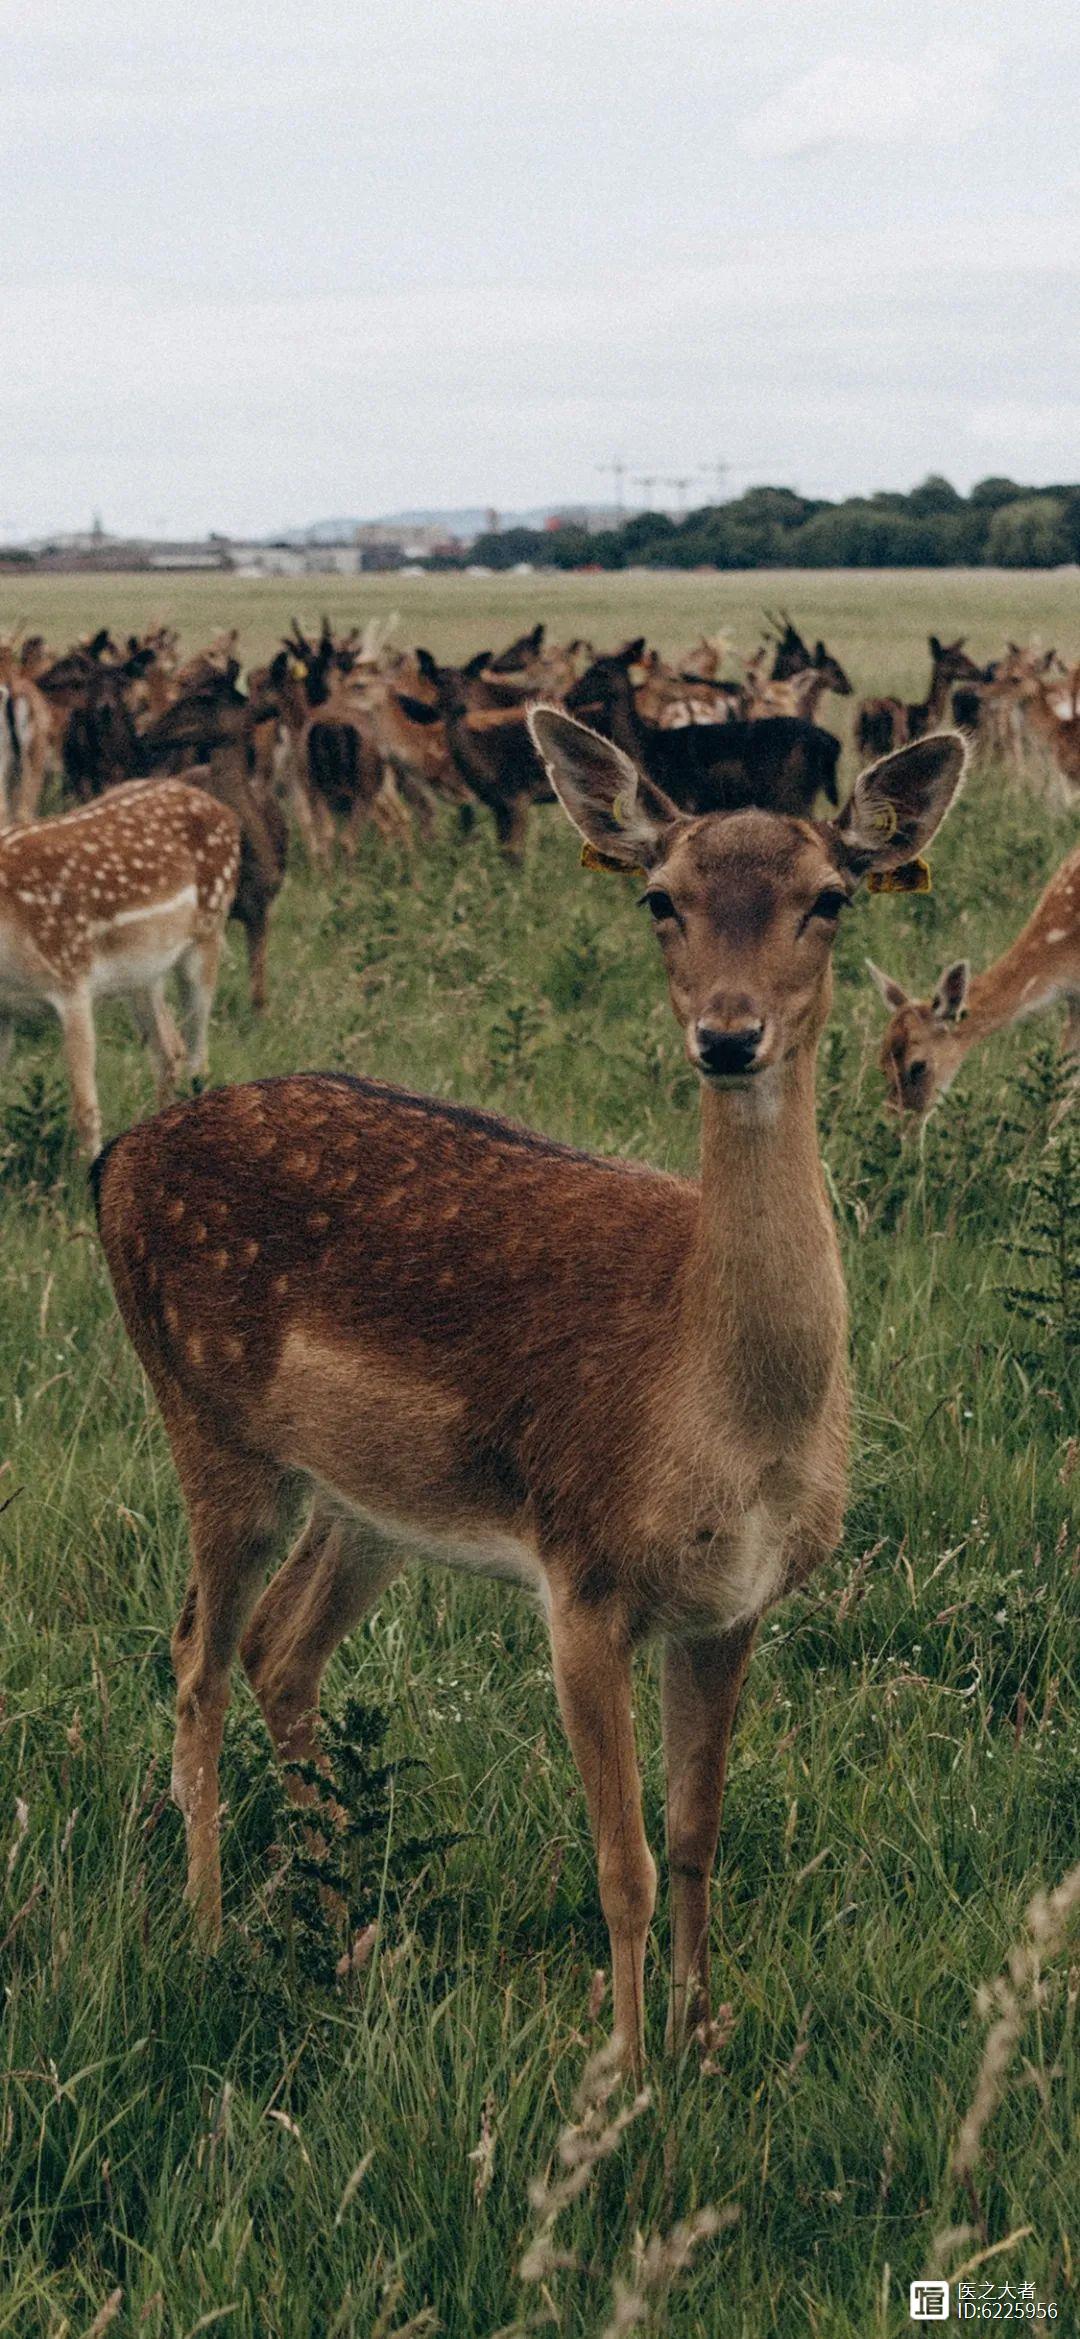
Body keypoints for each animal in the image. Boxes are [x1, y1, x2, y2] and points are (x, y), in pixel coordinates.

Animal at [0, 781, 240, 1155]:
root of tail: (224, 809)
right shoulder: (5, 1009)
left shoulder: (71, 979)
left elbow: (85, 1108)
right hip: (143, 973)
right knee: (169, 1052)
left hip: (208, 933)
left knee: (198, 1060)